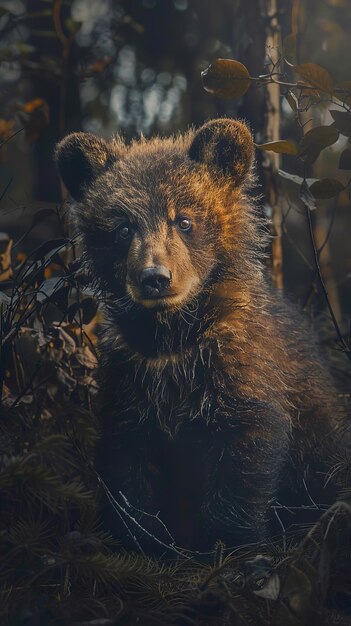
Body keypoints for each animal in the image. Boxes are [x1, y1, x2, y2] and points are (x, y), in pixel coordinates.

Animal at [55, 118, 346, 552]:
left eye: (184, 220)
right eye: (123, 228)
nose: (155, 278)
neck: (174, 338)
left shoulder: (241, 370)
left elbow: (246, 455)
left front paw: (229, 545)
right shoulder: (130, 378)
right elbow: (127, 466)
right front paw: (141, 540)